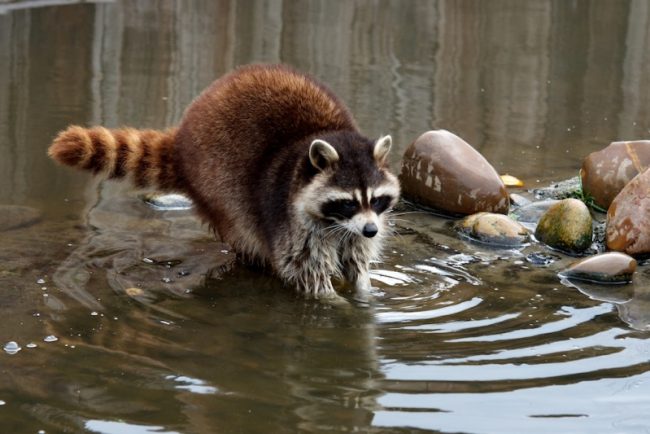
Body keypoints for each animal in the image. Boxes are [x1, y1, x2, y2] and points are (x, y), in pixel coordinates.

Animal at [48, 64, 400, 301]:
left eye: (377, 199)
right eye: (348, 202)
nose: (372, 230)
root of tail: (183, 138)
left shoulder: (356, 229)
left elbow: (357, 260)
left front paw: (365, 292)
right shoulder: (291, 220)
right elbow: (304, 270)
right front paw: (334, 302)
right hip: (217, 182)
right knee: (244, 226)